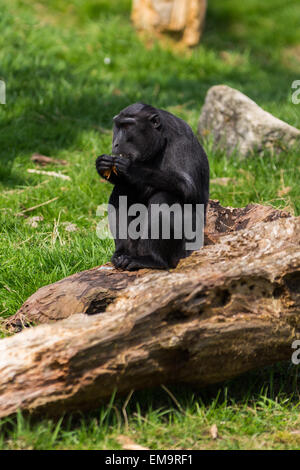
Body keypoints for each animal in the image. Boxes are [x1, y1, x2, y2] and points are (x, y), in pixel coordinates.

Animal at [96, 104, 209, 270]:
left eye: (128, 126)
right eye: (118, 126)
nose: (115, 143)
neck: (161, 139)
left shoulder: (181, 141)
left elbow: (188, 188)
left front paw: (132, 168)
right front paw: (103, 165)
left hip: (187, 249)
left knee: (164, 198)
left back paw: (153, 259)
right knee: (121, 193)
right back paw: (122, 253)